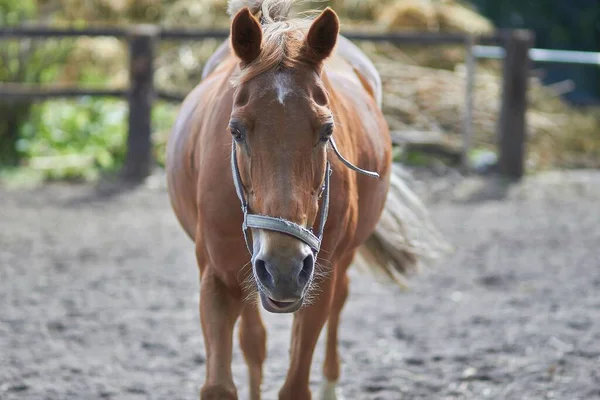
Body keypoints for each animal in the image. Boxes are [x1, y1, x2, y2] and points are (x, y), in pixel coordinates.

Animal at [166, 1, 448, 398]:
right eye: (235, 130)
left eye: (327, 130)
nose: (283, 267)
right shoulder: (218, 280)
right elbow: (221, 382)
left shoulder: (317, 281)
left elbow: (297, 383)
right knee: (254, 341)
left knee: (339, 303)